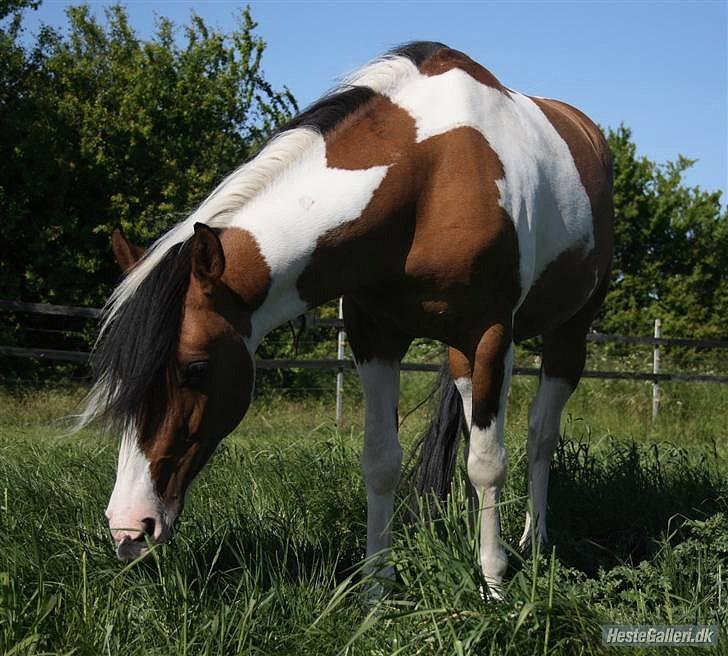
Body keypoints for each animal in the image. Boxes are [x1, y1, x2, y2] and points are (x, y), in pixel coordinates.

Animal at [85, 41, 616, 596]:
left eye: (196, 369)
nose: (128, 528)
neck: (429, 175)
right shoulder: (374, 337)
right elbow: (381, 460)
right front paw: (377, 585)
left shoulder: (490, 335)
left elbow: (489, 464)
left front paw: (492, 583)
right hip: (463, 356)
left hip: (564, 335)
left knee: (539, 435)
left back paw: (535, 542)